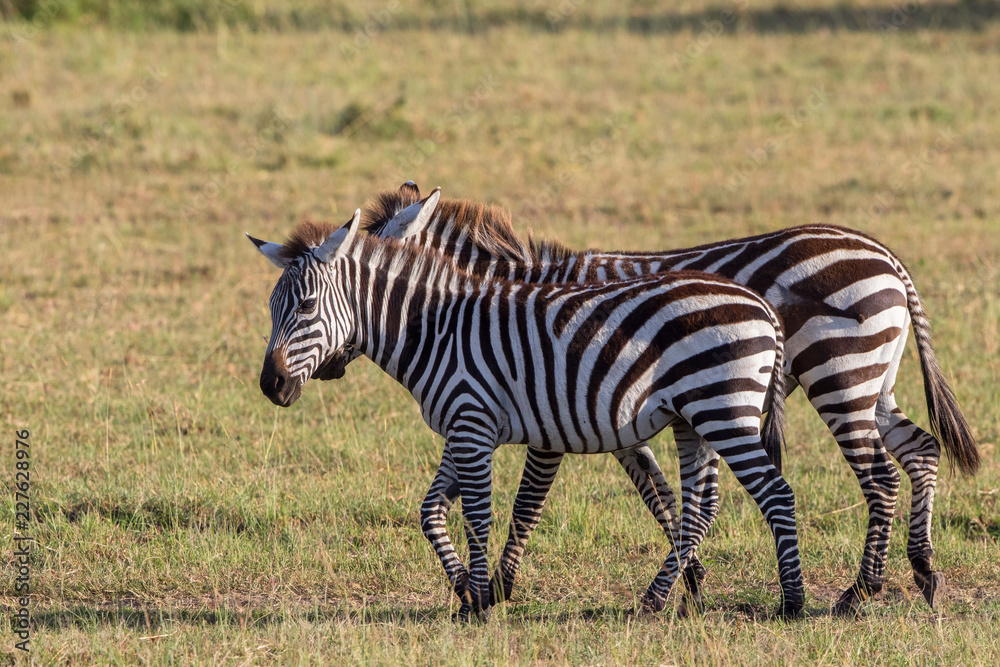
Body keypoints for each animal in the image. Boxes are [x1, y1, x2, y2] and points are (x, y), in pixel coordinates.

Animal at [247, 208, 805, 620]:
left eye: (306, 306)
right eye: (270, 309)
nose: (270, 386)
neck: (436, 329)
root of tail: (762, 306)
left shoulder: (473, 424)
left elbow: (480, 515)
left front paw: (479, 602)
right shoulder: (463, 428)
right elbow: (431, 510)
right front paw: (467, 592)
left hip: (723, 410)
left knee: (775, 493)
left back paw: (792, 602)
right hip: (695, 420)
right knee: (699, 508)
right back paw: (655, 599)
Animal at [353, 182, 979, 616]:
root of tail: (887, 257)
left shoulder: (556, 410)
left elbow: (531, 501)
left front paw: (501, 587)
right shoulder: (611, 414)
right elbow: (660, 494)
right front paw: (692, 579)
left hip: (839, 375)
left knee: (880, 476)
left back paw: (860, 590)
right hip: (875, 381)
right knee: (921, 451)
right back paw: (923, 571)